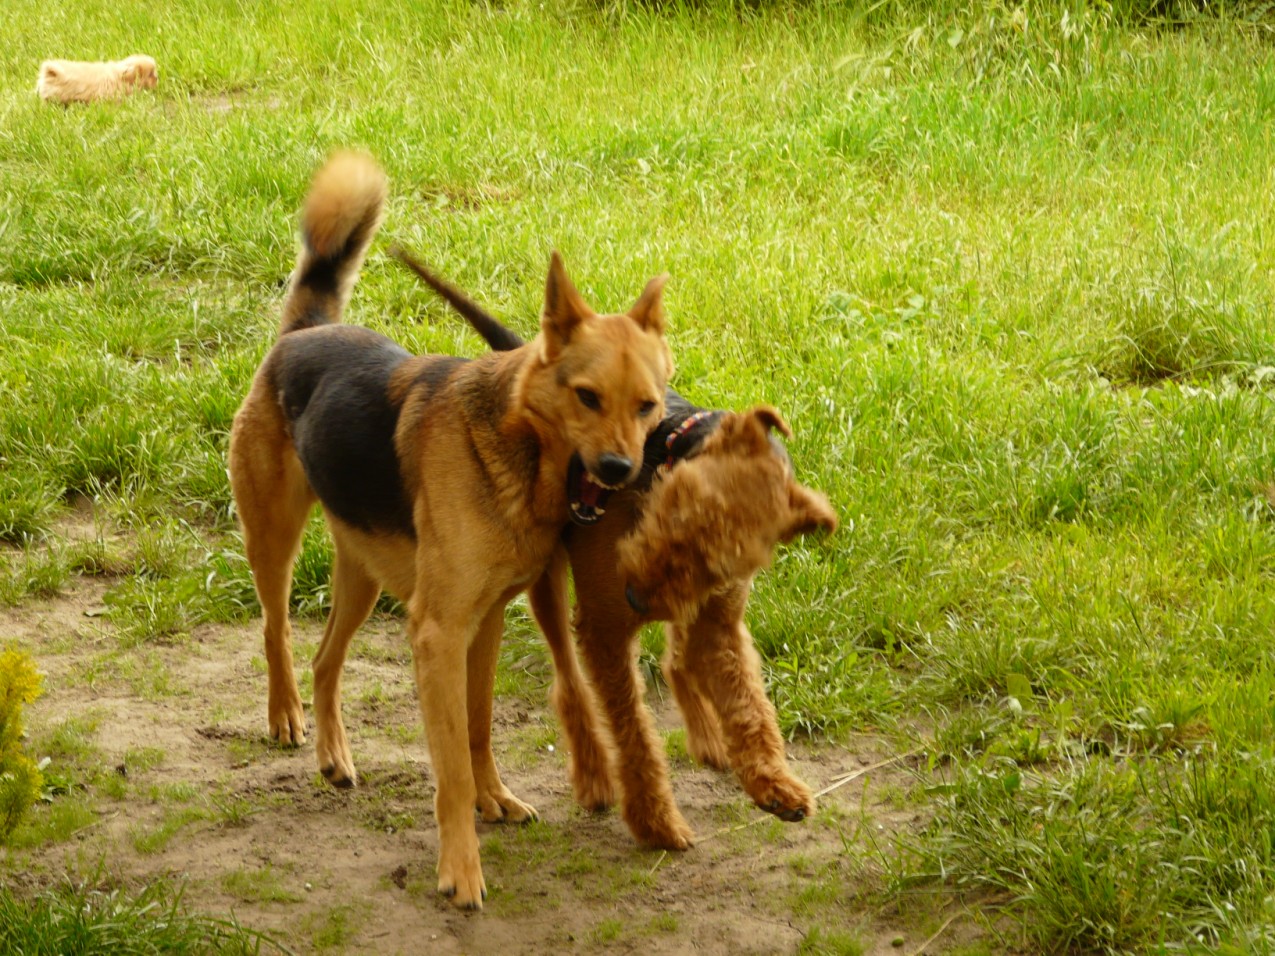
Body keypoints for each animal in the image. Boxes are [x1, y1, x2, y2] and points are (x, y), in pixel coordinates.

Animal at [226, 153, 678, 907]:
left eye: (647, 406)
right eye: (586, 397)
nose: (619, 470)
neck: (513, 448)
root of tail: (304, 333)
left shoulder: (482, 622)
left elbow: (478, 728)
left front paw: (493, 799)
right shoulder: (438, 634)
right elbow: (452, 767)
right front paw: (461, 869)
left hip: (362, 579)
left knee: (325, 659)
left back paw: (334, 755)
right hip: (274, 540)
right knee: (276, 631)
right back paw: (285, 715)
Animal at [392, 251, 841, 851]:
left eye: (717, 558)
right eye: (669, 509)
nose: (637, 597)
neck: (672, 444)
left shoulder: (719, 617)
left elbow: (749, 705)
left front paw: (776, 786)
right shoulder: (604, 627)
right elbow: (632, 731)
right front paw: (656, 821)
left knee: (676, 660)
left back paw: (707, 739)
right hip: (552, 590)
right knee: (570, 687)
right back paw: (595, 778)